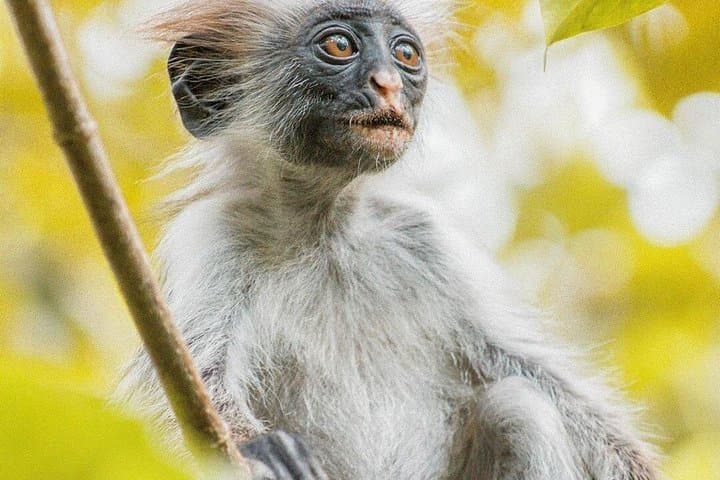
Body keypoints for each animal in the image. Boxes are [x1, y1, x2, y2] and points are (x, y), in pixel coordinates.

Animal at [115, 1, 662, 479]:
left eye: (406, 54)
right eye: (339, 45)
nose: (390, 83)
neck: (326, 230)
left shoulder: (422, 236)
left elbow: (533, 371)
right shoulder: (214, 235)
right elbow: (180, 394)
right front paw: (260, 446)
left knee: (520, 407)